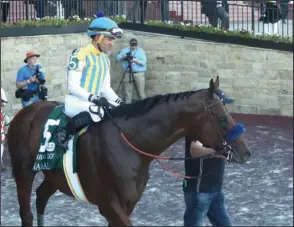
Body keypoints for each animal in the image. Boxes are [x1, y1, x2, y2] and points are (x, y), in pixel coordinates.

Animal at [7, 76, 250, 227]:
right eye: (222, 118)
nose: (245, 152)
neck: (130, 145)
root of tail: (26, 111)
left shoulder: (128, 204)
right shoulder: (109, 204)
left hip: (55, 176)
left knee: (41, 197)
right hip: (23, 172)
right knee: (26, 212)